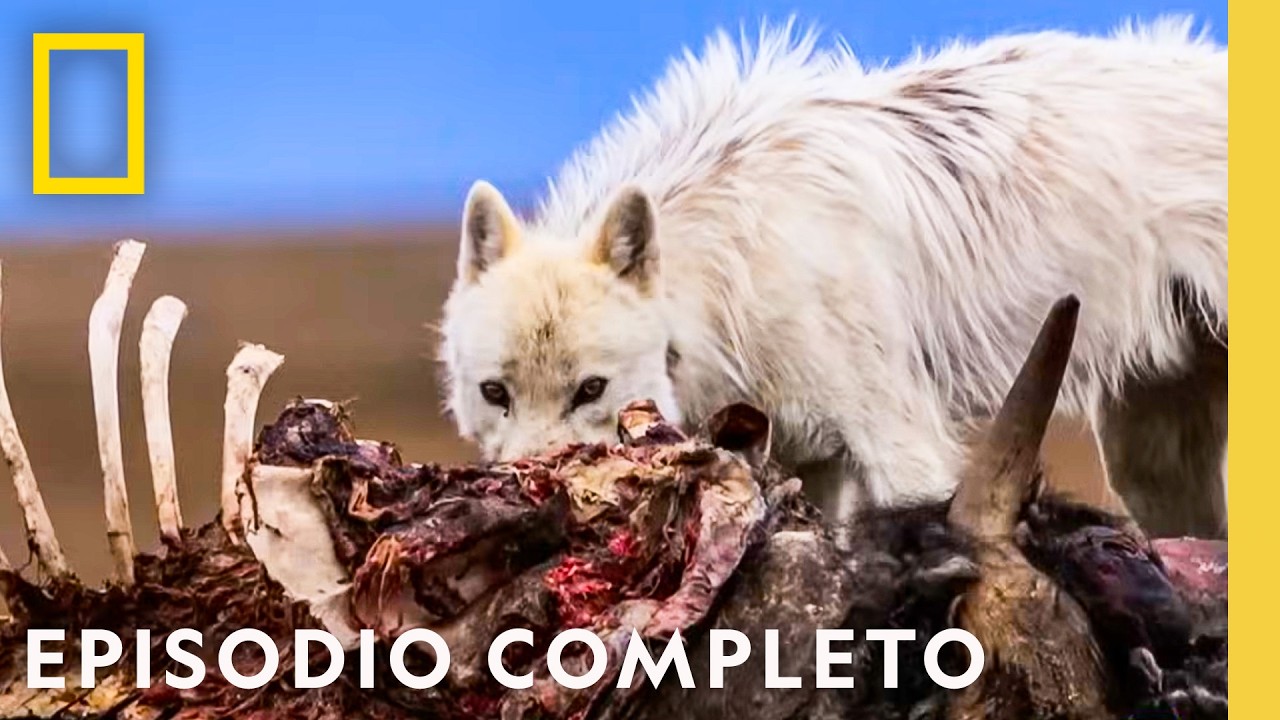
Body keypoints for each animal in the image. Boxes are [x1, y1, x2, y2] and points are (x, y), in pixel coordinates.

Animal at [437, 18, 1228, 537]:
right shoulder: (806, 462)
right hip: (1151, 461)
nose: (530, 502)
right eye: (496, 393)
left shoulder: (906, 453)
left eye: (591, 390)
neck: (732, 275)